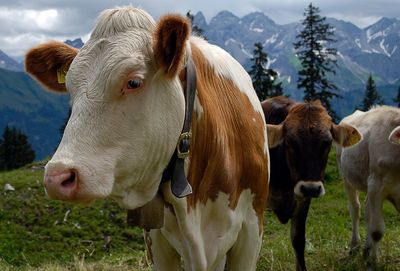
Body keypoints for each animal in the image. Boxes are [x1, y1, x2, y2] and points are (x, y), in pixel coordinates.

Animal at [338, 107, 400, 268]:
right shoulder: (376, 186)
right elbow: (377, 230)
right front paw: (374, 262)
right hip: (346, 177)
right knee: (355, 209)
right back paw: (355, 246)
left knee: (367, 212)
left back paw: (367, 248)